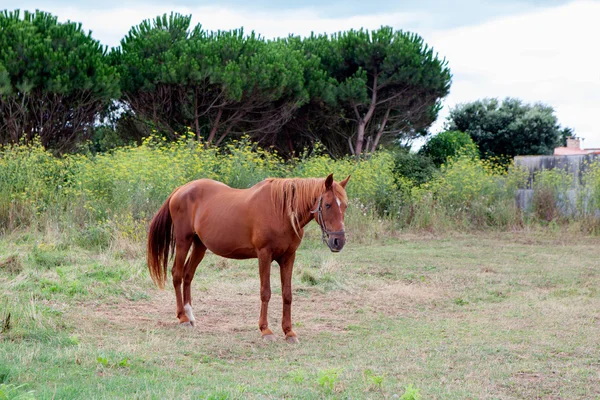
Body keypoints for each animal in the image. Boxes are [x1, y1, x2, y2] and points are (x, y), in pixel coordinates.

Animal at [147, 173, 350, 342]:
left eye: (345, 205)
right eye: (328, 205)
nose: (338, 241)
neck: (281, 211)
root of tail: (180, 189)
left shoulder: (288, 257)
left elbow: (287, 294)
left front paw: (289, 332)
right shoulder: (264, 255)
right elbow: (265, 292)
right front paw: (265, 330)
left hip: (199, 245)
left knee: (188, 275)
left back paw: (190, 315)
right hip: (184, 241)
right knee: (177, 274)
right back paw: (182, 318)